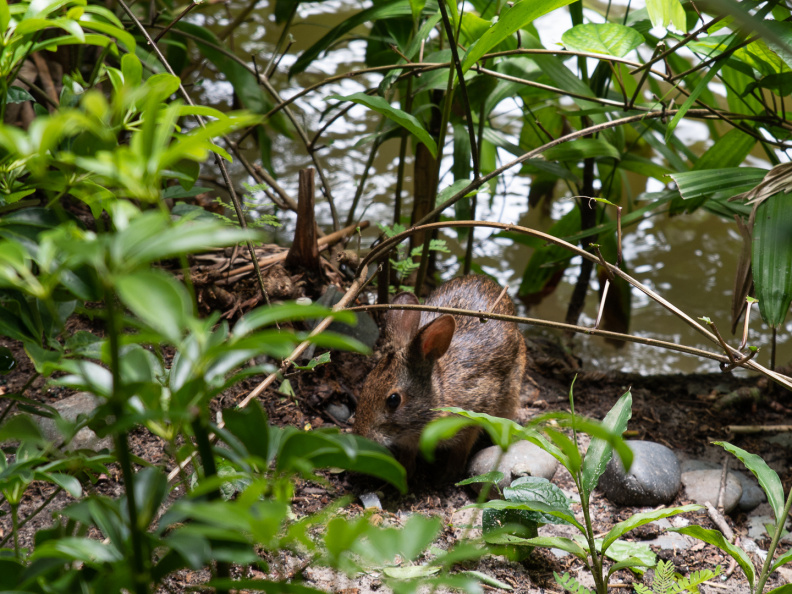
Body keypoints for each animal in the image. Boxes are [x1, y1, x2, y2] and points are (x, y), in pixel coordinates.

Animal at [353, 275, 527, 478]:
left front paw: (451, 472)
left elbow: (463, 447)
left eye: (394, 400)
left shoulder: (476, 413)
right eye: (366, 383)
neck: (438, 392)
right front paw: (406, 469)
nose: (362, 436)